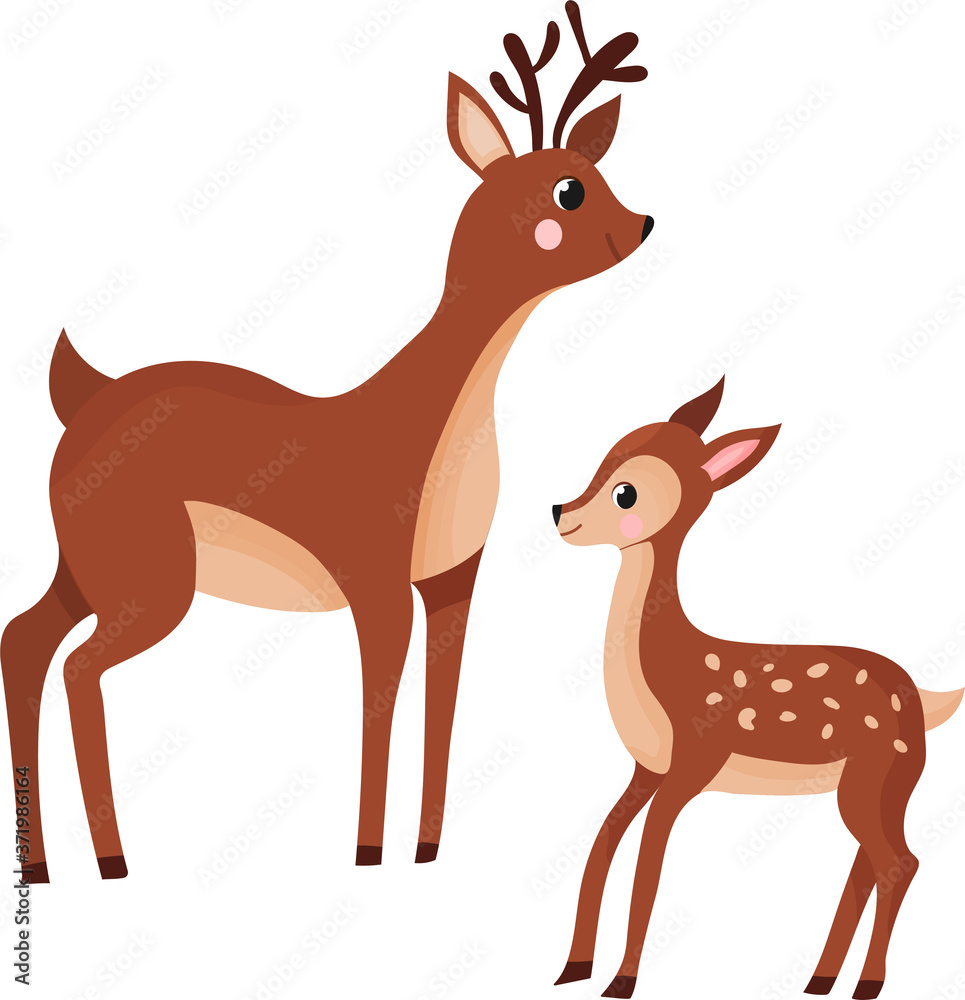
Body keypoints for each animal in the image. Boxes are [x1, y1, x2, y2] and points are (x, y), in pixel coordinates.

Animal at [0, 2, 655, 884]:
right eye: (569, 188)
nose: (643, 224)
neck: (433, 422)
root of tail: (82, 395)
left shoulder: (452, 582)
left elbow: (442, 707)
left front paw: (427, 850)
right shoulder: (373, 583)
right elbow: (380, 705)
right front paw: (368, 851)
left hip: (86, 568)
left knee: (24, 640)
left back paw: (41, 868)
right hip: (148, 585)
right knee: (76, 666)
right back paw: (111, 862)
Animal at [551, 378, 963, 1000]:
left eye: (626, 493)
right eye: (602, 458)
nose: (559, 512)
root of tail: (923, 699)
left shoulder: (695, 761)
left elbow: (648, 862)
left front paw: (620, 982)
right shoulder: (646, 768)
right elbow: (602, 844)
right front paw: (572, 969)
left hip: (876, 773)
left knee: (900, 861)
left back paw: (864, 985)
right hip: (884, 783)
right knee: (873, 859)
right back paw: (821, 978)